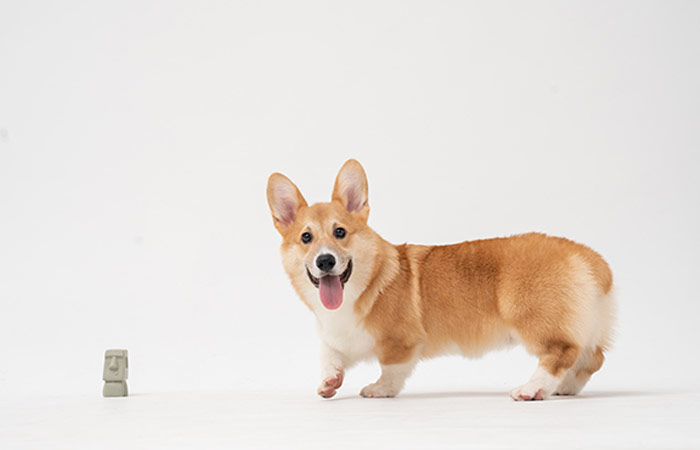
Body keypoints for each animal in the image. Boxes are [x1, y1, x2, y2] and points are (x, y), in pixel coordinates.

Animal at [266, 159, 612, 400]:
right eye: (306, 237)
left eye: (340, 232)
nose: (325, 261)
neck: (362, 285)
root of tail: (587, 256)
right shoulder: (338, 336)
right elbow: (329, 354)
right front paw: (329, 381)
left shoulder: (402, 343)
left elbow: (391, 369)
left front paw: (379, 389)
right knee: (592, 358)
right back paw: (565, 387)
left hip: (533, 319)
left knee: (562, 353)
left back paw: (533, 389)